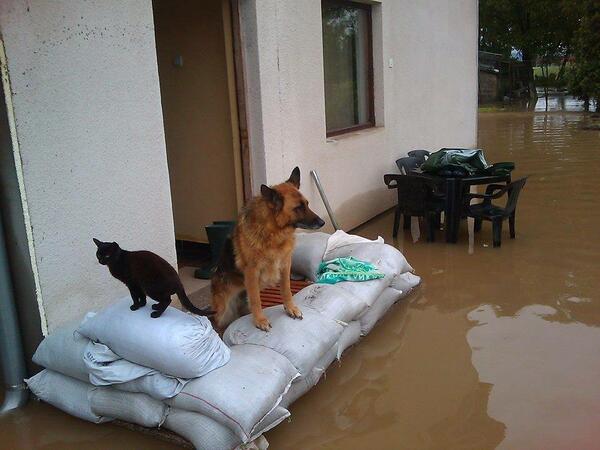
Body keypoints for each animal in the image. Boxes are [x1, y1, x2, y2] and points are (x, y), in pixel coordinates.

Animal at [211, 167, 324, 328]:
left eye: (307, 204)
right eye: (298, 208)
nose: (322, 222)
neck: (273, 232)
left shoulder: (285, 265)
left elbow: (286, 290)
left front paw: (290, 308)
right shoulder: (252, 272)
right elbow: (256, 299)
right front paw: (260, 320)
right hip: (224, 311)